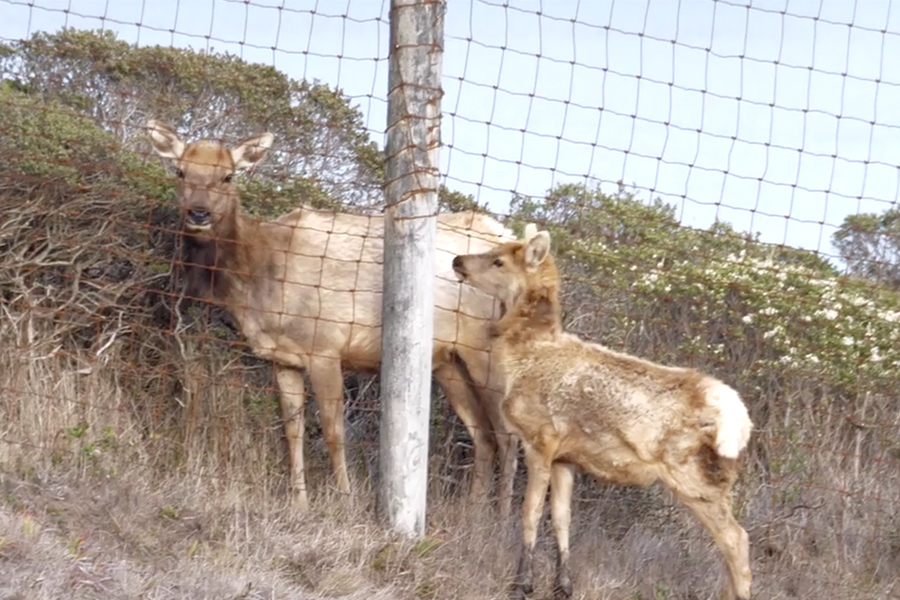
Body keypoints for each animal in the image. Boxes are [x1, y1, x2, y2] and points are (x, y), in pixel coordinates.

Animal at [144, 119, 516, 512]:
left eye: (228, 175)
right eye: (180, 170)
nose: (198, 213)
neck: (258, 280)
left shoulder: (325, 346)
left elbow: (334, 431)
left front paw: (346, 499)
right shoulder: (282, 357)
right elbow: (292, 430)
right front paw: (299, 503)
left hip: (486, 347)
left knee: (508, 434)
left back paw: (501, 517)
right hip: (448, 361)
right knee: (483, 435)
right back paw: (473, 510)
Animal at [450, 224, 752, 600]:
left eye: (498, 261)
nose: (457, 260)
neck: (524, 358)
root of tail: (738, 417)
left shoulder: (540, 439)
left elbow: (529, 512)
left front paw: (522, 584)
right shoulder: (566, 458)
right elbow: (561, 518)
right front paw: (563, 585)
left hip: (692, 476)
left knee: (737, 540)